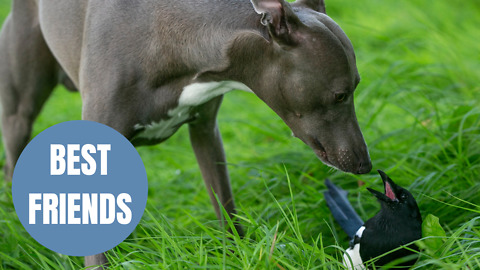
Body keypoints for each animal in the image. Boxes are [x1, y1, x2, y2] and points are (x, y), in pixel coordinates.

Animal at [0, 0, 372, 266]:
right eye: (340, 94)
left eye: (356, 86)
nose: (365, 165)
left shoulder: (206, 132)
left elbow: (224, 205)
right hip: (20, 110)